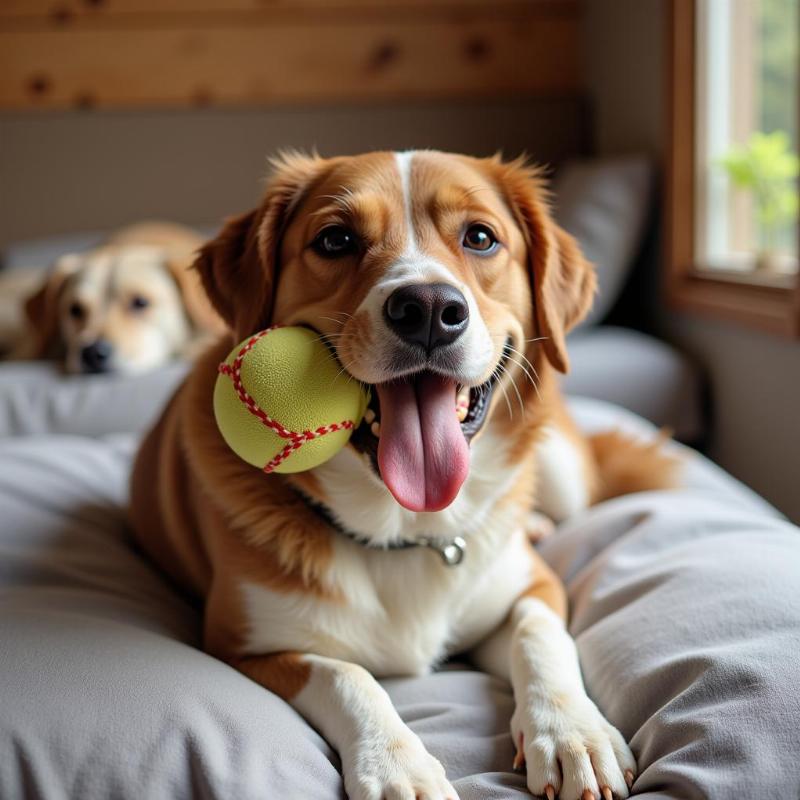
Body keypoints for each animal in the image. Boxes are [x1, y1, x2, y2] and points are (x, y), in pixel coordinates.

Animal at [130, 152, 676, 800]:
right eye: (335, 239)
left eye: (481, 237)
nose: (430, 310)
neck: (408, 529)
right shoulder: (243, 647)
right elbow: (347, 675)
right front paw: (397, 765)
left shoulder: (536, 588)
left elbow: (541, 638)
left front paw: (573, 733)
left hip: (563, 471)